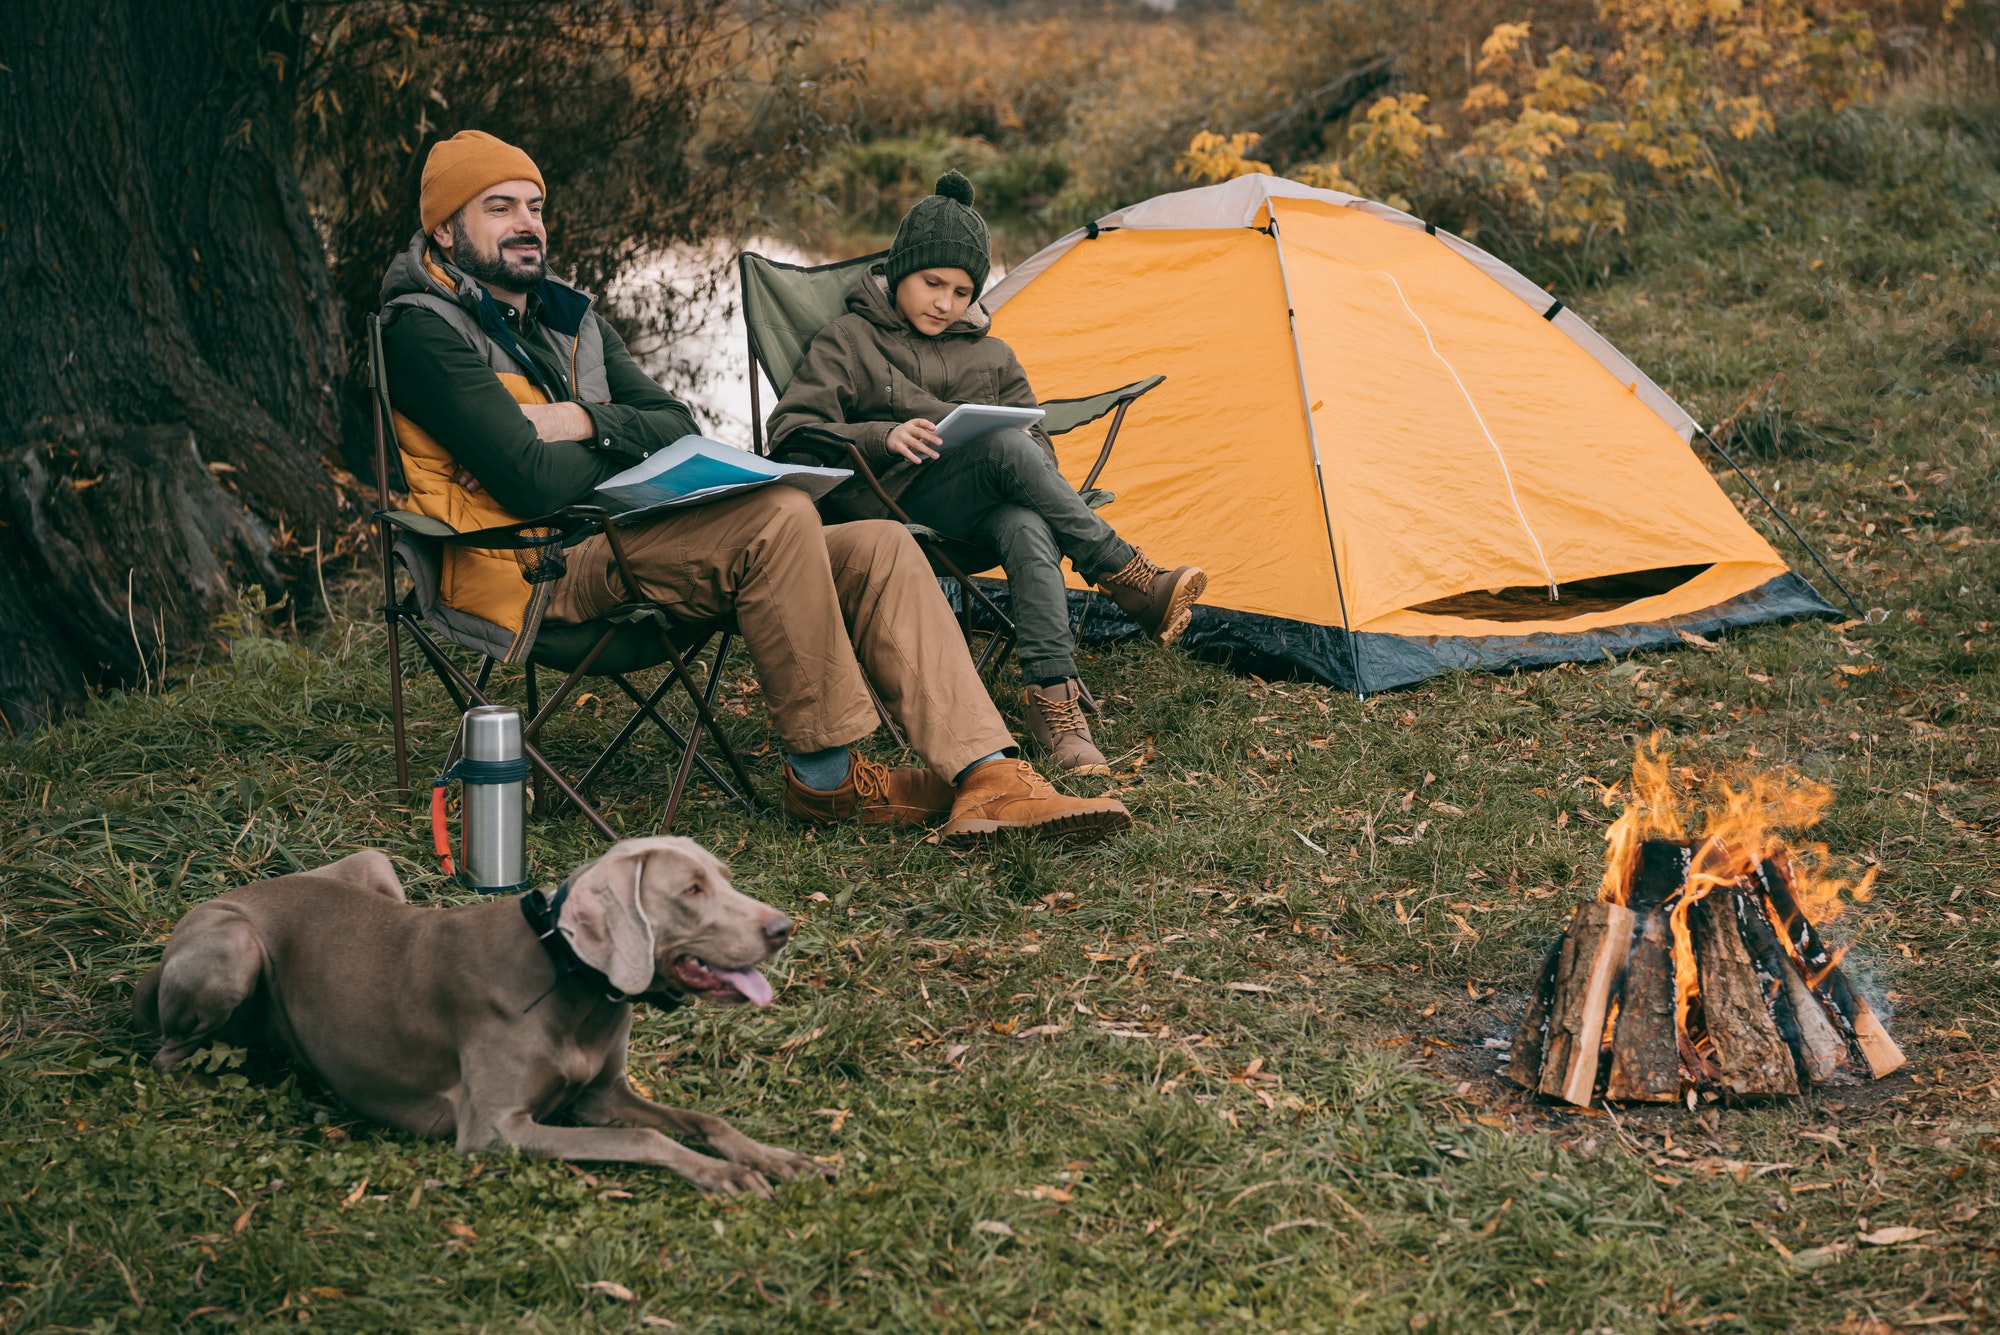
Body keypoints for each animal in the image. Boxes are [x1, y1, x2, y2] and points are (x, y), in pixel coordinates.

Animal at [133, 835, 832, 1199]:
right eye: (690, 892)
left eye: (725, 877)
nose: (784, 928)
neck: (566, 977)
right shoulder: (494, 1130)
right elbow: (646, 1139)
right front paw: (725, 1174)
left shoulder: (603, 1097)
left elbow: (704, 1118)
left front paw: (775, 1157)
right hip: (235, 948)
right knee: (166, 1055)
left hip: (374, 864)